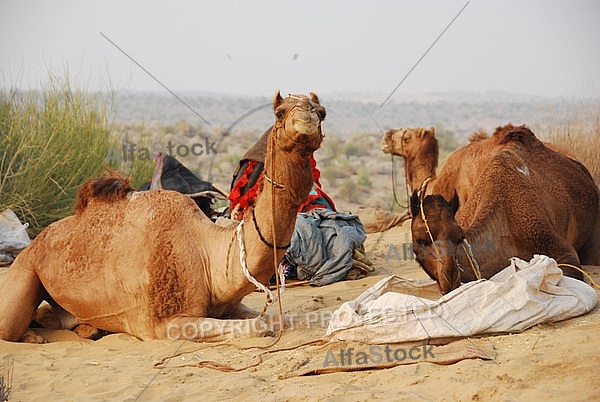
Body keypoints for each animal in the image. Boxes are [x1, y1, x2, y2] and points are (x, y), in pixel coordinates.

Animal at [1, 91, 328, 342]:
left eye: (322, 112)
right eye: (279, 112)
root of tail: (37, 240)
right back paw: (35, 335)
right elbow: (260, 325)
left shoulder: (227, 305)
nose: (308, 116)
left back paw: (87, 328)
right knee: (9, 325)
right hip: (25, 269)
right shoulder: (164, 323)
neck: (206, 252)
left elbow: (277, 319)